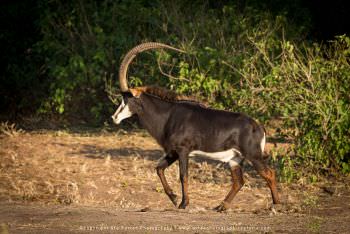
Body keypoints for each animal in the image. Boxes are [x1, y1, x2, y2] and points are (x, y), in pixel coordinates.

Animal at [110, 42, 280, 212]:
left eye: (127, 99)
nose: (114, 117)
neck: (168, 115)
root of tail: (259, 127)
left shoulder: (183, 150)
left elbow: (183, 176)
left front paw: (183, 203)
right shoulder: (173, 152)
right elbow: (159, 169)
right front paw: (174, 198)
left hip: (253, 156)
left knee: (270, 173)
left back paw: (276, 204)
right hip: (235, 159)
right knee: (239, 181)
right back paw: (221, 206)